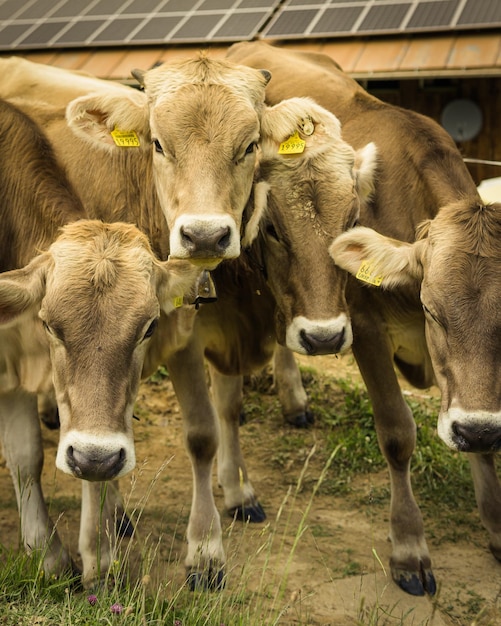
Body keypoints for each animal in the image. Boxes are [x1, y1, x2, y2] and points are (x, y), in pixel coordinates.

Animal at [0, 97, 200, 584]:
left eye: (149, 327)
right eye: (49, 324)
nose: (94, 458)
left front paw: (97, 555)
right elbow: (25, 456)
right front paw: (49, 554)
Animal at [225, 40, 500, 596]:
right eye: (433, 310)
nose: (480, 430)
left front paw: (498, 525)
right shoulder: (367, 329)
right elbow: (397, 433)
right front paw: (409, 548)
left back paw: (294, 402)